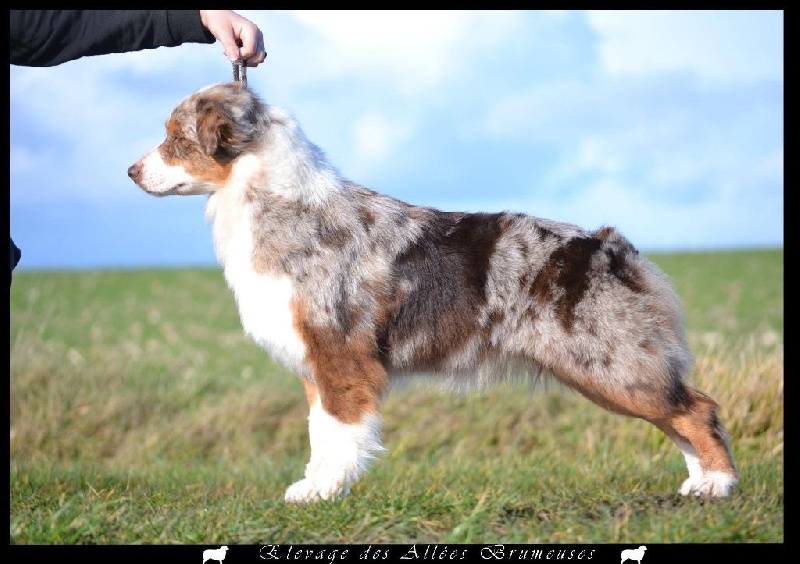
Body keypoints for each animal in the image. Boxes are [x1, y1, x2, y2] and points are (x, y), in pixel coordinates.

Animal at [126, 80, 736, 502]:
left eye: (175, 137)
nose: (131, 172)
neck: (271, 200)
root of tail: (611, 246)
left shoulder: (339, 353)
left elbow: (339, 433)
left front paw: (324, 493)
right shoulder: (315, 364)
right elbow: (319, 433)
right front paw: (313, 488)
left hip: (609, 363)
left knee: (696, 407)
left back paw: (720, 485)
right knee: (679, 414)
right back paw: (698, 484)